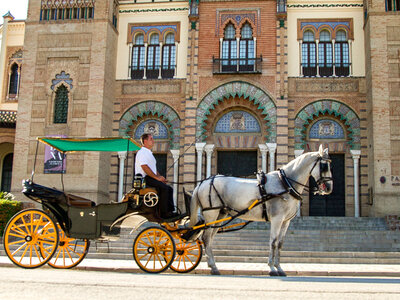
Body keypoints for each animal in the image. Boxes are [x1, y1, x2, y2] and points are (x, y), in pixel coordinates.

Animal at [189, 145, 332, 276]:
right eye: (325, 166)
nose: (329, 187)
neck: (285, 183)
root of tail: (203, 182)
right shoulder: (277, 219)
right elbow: (273, 242)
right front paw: (272, 268)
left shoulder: (286, 221)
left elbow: (280, 243)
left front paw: (279, 268)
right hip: (211, 213)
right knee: (206, 237)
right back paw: (213, 267)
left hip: (220, 214)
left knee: (210, 238)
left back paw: (213, 265)